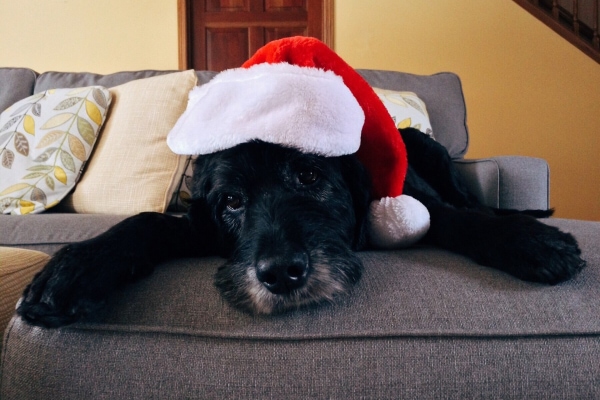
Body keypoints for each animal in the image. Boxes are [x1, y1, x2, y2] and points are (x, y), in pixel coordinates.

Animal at [16, 129, 584, 328]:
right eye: (232, 201)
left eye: (309, 175)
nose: (281, 273)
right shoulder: (199, 226)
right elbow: (148, 223)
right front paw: (73, 271)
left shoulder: (420, 205)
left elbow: (460, 219)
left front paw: (531, 242)